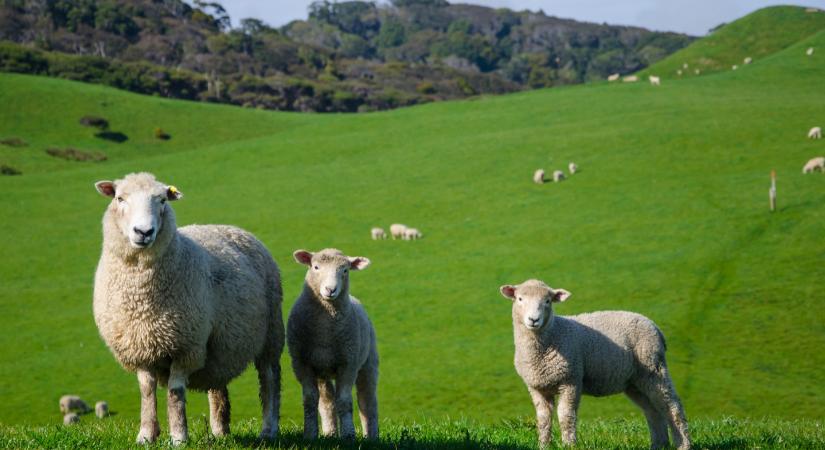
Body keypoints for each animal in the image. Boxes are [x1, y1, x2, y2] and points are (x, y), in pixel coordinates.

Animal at [92, 171, 284, 442]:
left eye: (162, 200)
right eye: (120, 198)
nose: (144, 231)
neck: (141, 298)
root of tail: (232, 228)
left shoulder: (186, 346)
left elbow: (175, 393)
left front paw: (179, 436)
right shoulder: (139, 346)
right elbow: (147, 391)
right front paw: (146, 435)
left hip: (271, 334)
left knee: (269, 379)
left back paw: (268, 429)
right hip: (220, 346)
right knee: (218, 386)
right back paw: (220, 432)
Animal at [288, 246, 378, 440]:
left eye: (345, 270)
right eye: (315, 267)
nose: (331, 289)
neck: (325, 331)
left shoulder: (348, 363)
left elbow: (344, 401)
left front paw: (348, 435)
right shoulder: (302, 363)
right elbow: (310, 399)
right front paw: (310, 434)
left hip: (368, 362)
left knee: (367, 400)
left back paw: (372, 436)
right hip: (322, 370)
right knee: (327, 401)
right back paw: (329, 432)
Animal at [498, 278, 692, 450]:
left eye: (547, 301)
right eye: (520, 299)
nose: (533, 320)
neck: (553, 334)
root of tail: (655, 327)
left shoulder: (571, 380)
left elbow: (566, 416)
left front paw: (569, 445)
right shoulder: (537, 387)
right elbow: (543, 419)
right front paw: (543, 446)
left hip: (653, 368)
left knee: (672, 406)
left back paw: (683, 444)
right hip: (635, 381)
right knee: (653, 410)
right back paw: (659, 445)